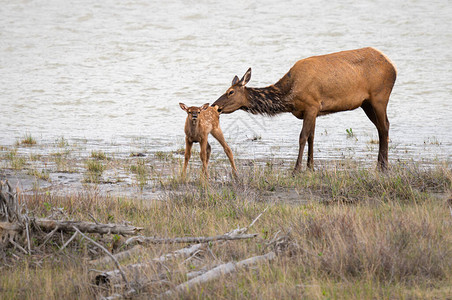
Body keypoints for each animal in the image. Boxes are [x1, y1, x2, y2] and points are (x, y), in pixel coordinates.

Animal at [212, 47, 396, 173]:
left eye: (230, 92)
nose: (215, 106)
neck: (289, 97)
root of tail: (393, 66)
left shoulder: (311, 105)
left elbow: (302, 137)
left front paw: (296, 169)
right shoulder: (313, 111)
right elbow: (311, 138)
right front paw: (310, 166)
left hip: (379, 97)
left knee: (385, 126)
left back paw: (384, 166)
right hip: (366, 103)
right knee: (380, 127)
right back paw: (380, 164)